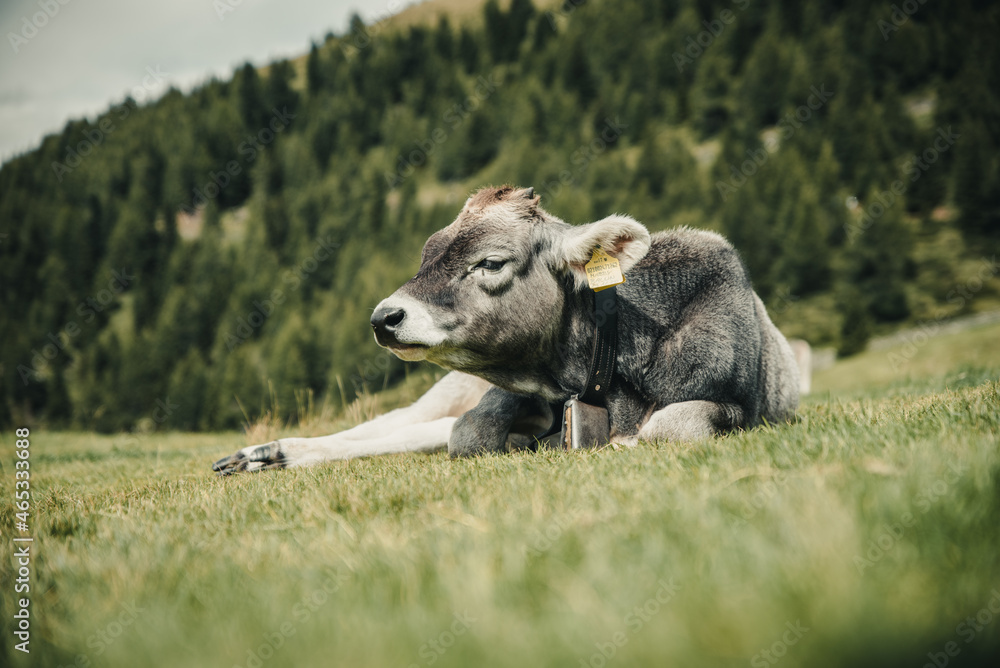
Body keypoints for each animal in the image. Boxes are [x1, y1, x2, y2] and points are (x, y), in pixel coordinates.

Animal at [212, 185, 801, 474]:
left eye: (491, 263)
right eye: (426, 256)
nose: (384, 318)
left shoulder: (734, 404)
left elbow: (671, 427)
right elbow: (468, 434)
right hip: (442, 392)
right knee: (393, 426)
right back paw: (264, 453)